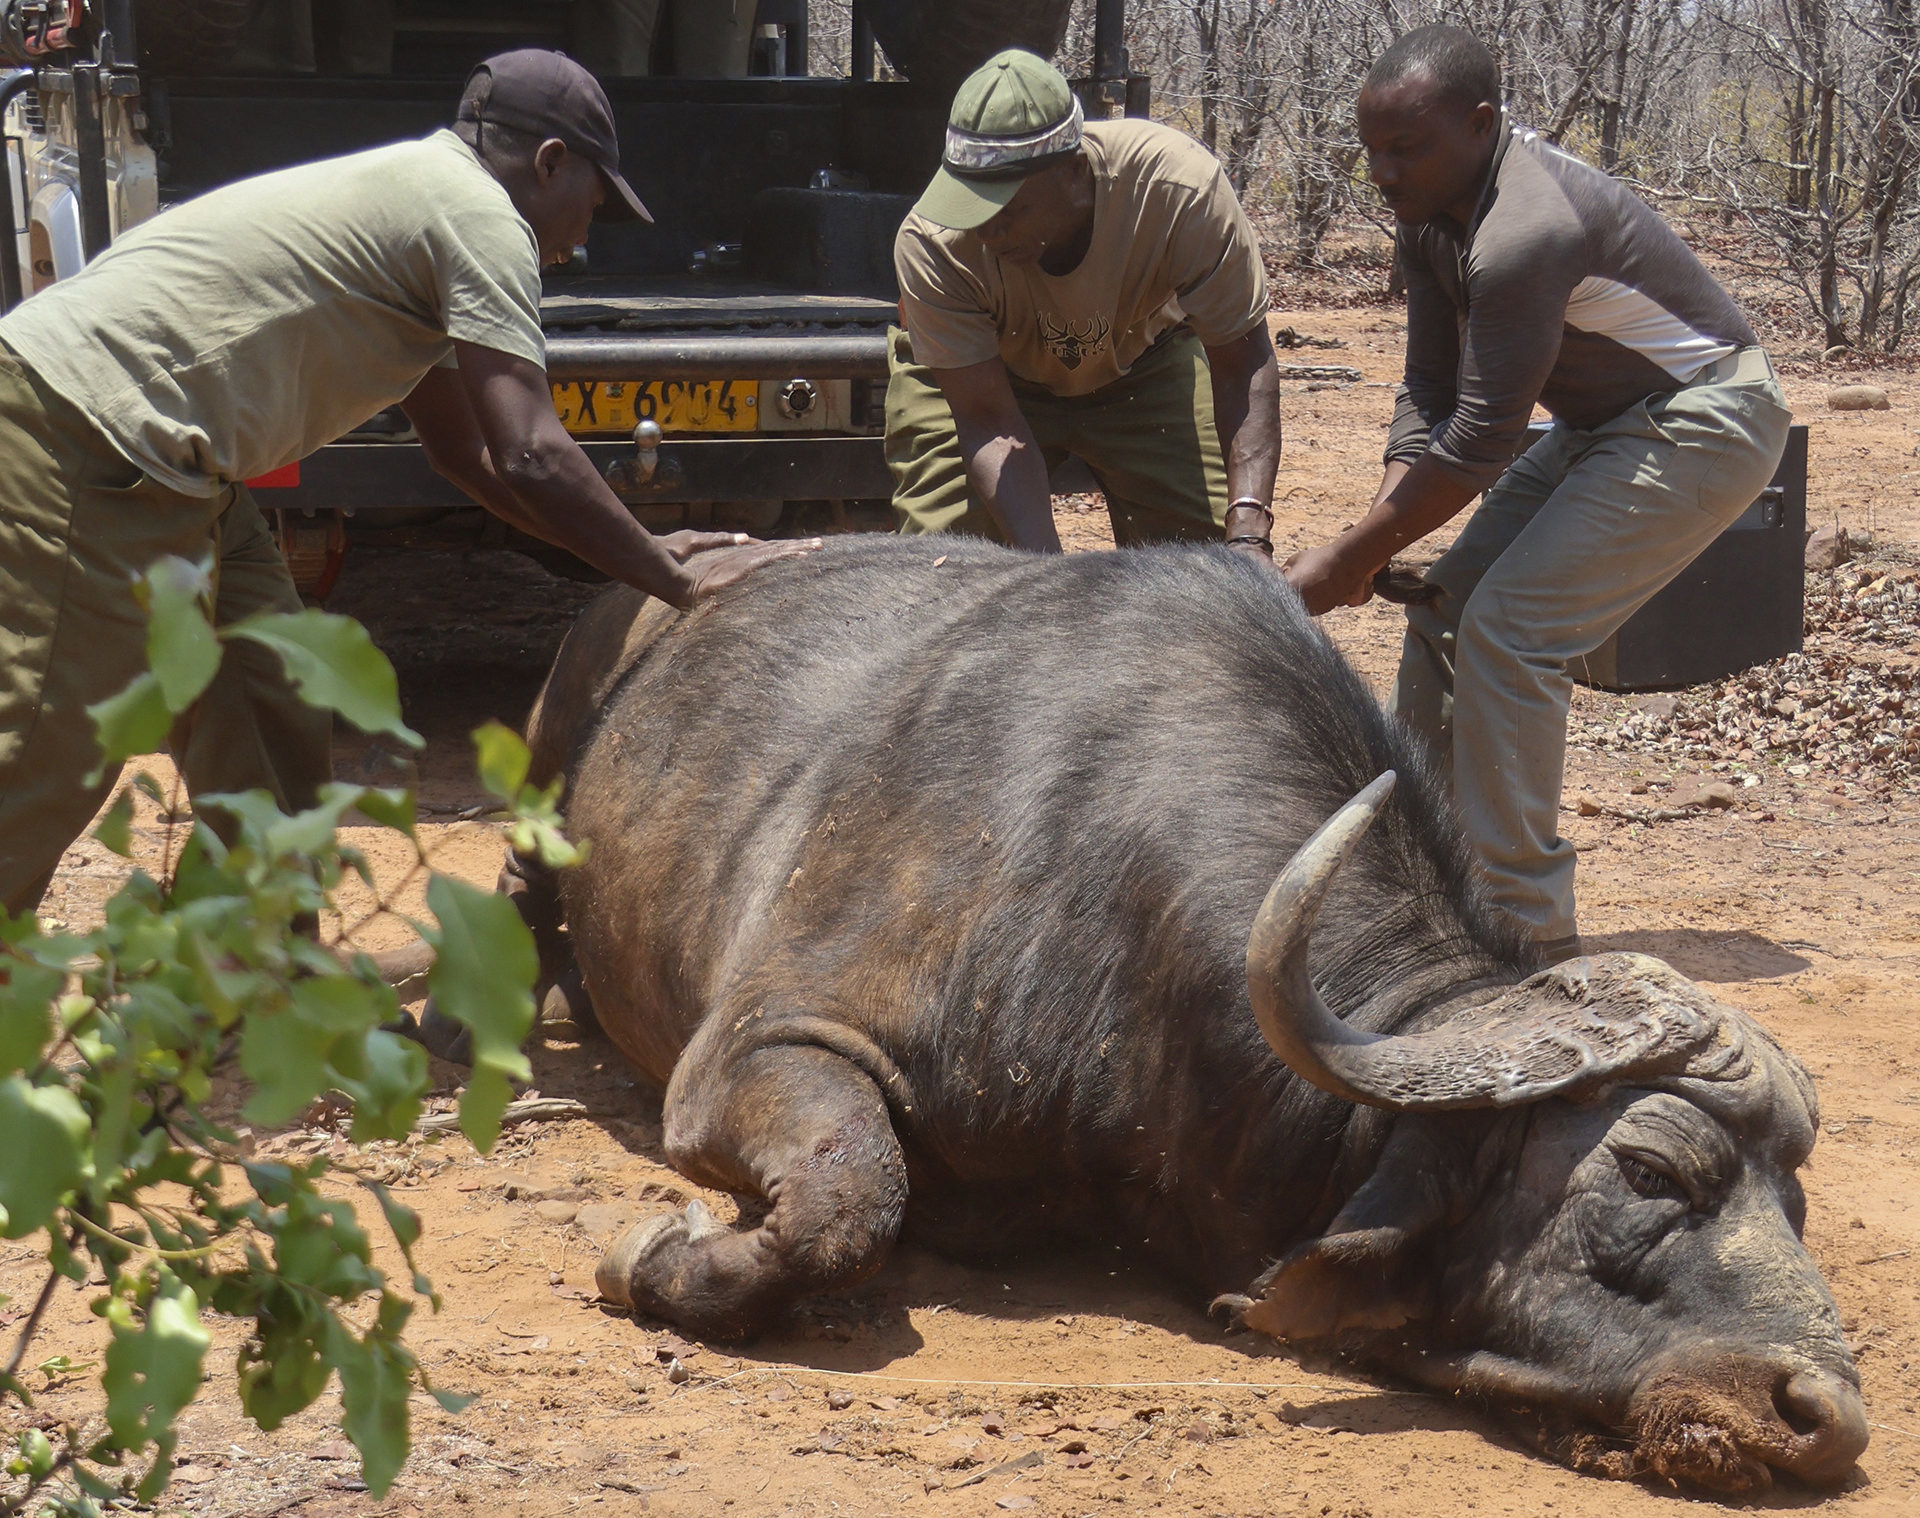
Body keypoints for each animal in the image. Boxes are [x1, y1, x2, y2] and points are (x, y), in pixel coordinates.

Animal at [477, 536, 1865, 1493]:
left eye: (1793, 1202)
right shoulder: (757, 1048)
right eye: (1649, 1170)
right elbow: (848, 1201)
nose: (1825, 1413)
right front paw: (652, 1253)